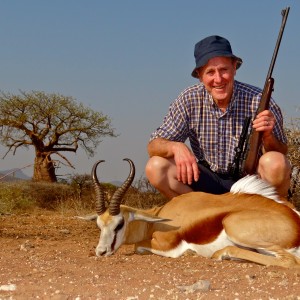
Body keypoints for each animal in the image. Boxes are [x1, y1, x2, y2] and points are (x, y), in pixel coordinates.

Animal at [92, 158, 300, 268]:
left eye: (119, 224)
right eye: (99, 225)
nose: (101, 252)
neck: (158, 217)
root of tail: (295, 218)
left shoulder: (165, 245)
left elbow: (138, 247)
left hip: (234, 228)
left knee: (290, 261)